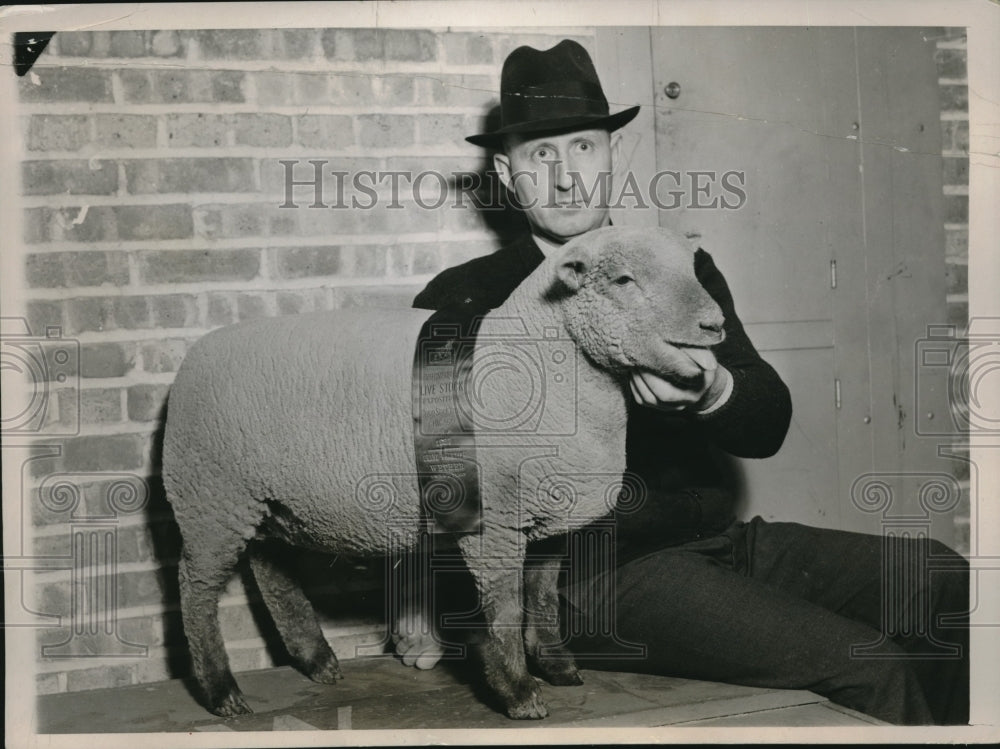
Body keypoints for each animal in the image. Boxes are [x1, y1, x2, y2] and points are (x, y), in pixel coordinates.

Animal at [164, 225, 728, 720]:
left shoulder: (549, 514)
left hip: (265, 496)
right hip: (207, 491)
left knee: (271, 567)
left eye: (693, 270)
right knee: (196, 589)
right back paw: (221, 691)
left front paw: (556, 667)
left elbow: (543, 596)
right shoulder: (493, 519)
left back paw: (315, 660)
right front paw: (518, 692)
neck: (543, 362)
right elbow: (505, 607)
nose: (715, 324)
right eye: (623, 280)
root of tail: (194, 355)